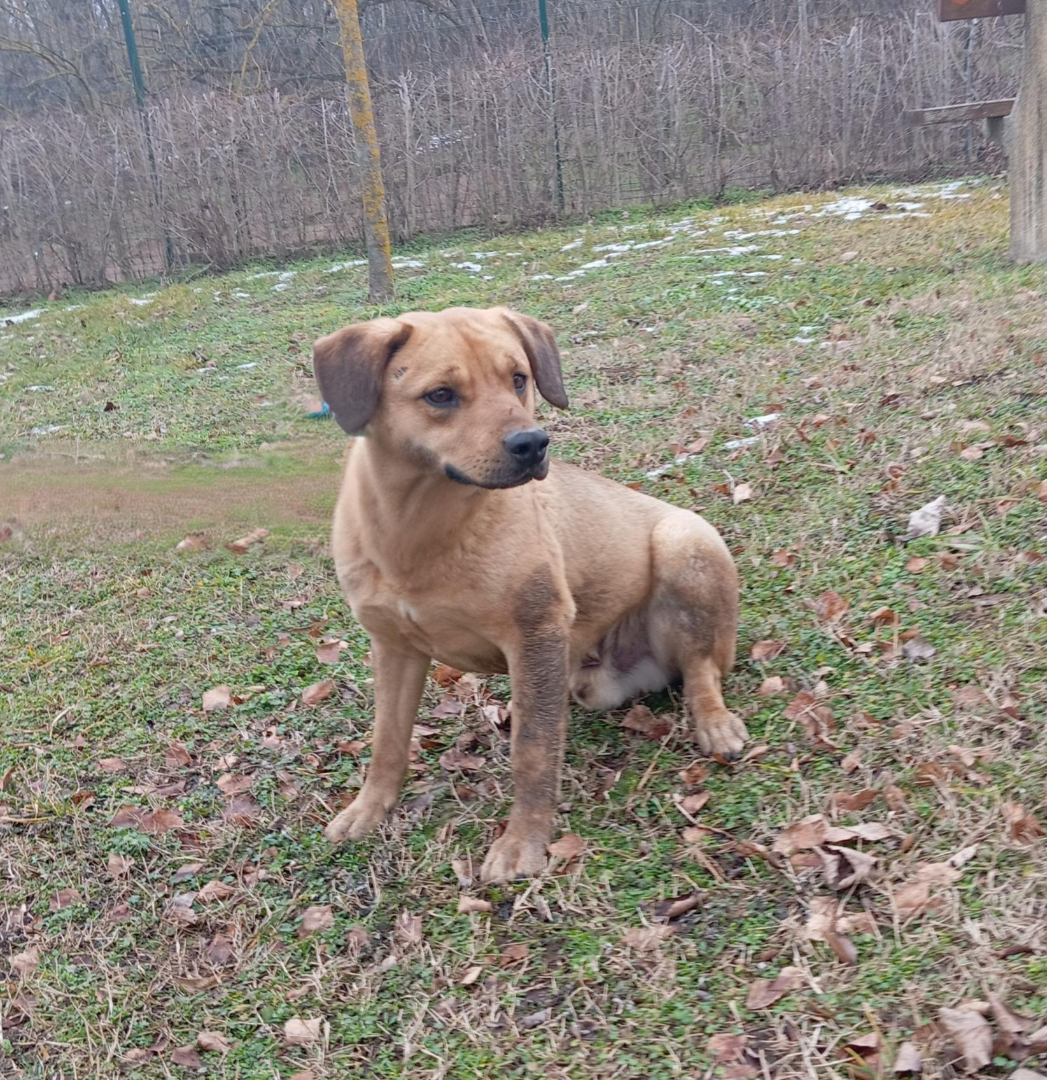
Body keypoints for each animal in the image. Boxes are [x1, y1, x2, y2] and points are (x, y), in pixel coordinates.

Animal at [313, 306, 746, 883]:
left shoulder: (535, 633)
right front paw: (368, 809)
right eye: (440, 395)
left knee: (701, 669)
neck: (418, 528)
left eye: (519, 379)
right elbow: (387, 740)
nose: (533, 444)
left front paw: (524, 842)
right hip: (590, 681)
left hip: (683, 542)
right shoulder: (393, 647)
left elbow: (534, 751)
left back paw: (715, 722)